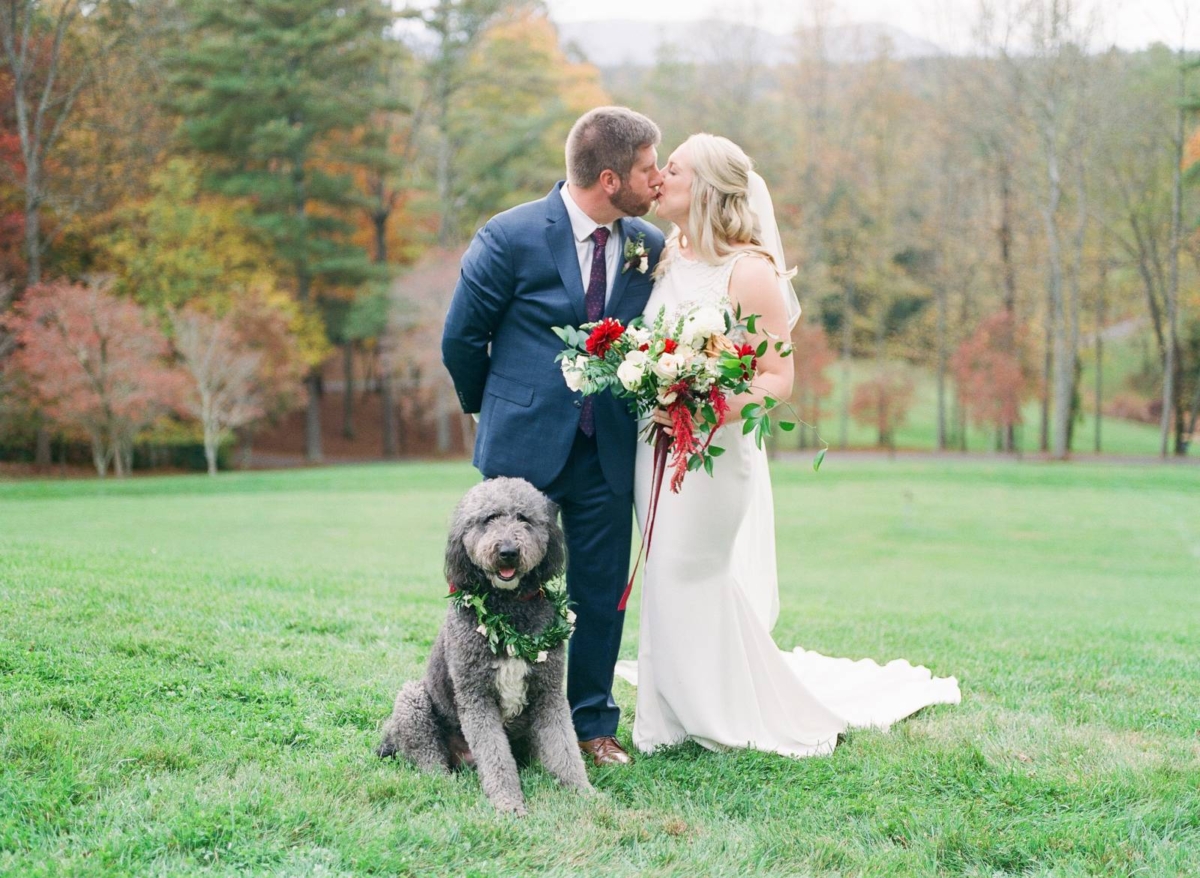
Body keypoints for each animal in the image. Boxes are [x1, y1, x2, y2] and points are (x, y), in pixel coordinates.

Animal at [374, 477, 595, 810]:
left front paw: (584, 793)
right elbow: (496, 756)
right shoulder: (477, 697)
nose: (508, 552)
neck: (507, 609)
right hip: (413, 701)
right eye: (489, 518)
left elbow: (564, 748)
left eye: (524, 518)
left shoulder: (549, 694)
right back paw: (442, 782)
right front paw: (508, 803)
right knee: (429, 760)